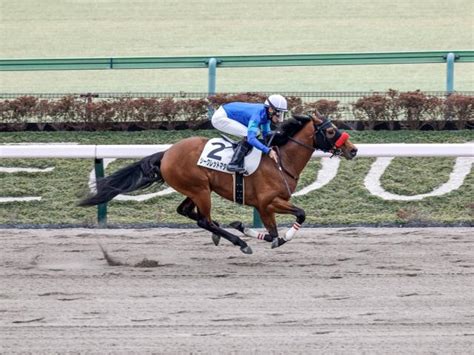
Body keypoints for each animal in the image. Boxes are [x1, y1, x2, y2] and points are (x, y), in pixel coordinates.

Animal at [79, 112, 358, 254]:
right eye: (330, 131)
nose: (353, 150)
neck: (281, 161)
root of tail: (166, 153)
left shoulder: (266, 205)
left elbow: (274, 231)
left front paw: (243, 227)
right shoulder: (268, 203)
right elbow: (291, 221)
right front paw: (261, 235)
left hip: (196, 188)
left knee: (187, 212)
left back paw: (222, 235)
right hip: (200, 190)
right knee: (204, 220)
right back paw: (239, 243)